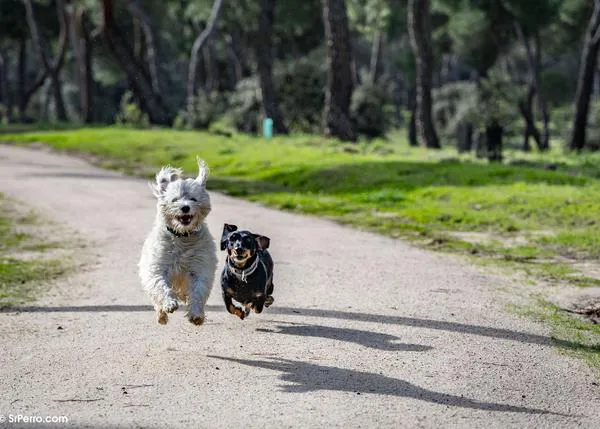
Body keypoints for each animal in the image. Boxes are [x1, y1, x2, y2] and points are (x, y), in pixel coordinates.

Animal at [139, 158, 218, 324]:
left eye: (193, 199)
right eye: (175, 200)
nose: (185, 207)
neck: (182, 236)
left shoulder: (199, 268)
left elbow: (198, 290)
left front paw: (196, 314)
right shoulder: (158, 267)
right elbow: (160, 285)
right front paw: (169, 303)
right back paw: (161, 315)